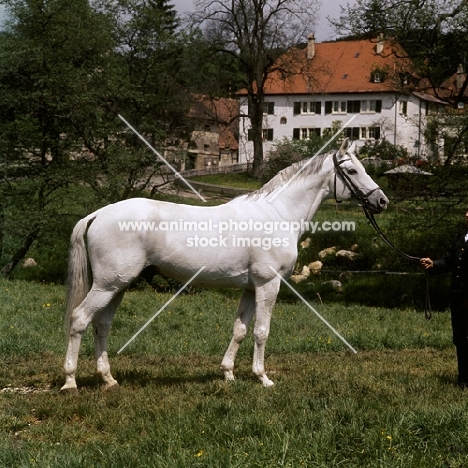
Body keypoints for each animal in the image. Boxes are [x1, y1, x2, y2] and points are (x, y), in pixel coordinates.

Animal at [61, 138, 388, 392]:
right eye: (351, 170)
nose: (382, 201)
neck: (278, 214)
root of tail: (98, 214)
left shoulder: (250, 287)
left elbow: (240, 329)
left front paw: (228, 374)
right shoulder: (268, 284)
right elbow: (261, 331)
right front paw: (263, 378)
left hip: (118, 285)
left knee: (101, 325)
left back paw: (109, 380)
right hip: (108, 285)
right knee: (80, 319)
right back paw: (70, 381)